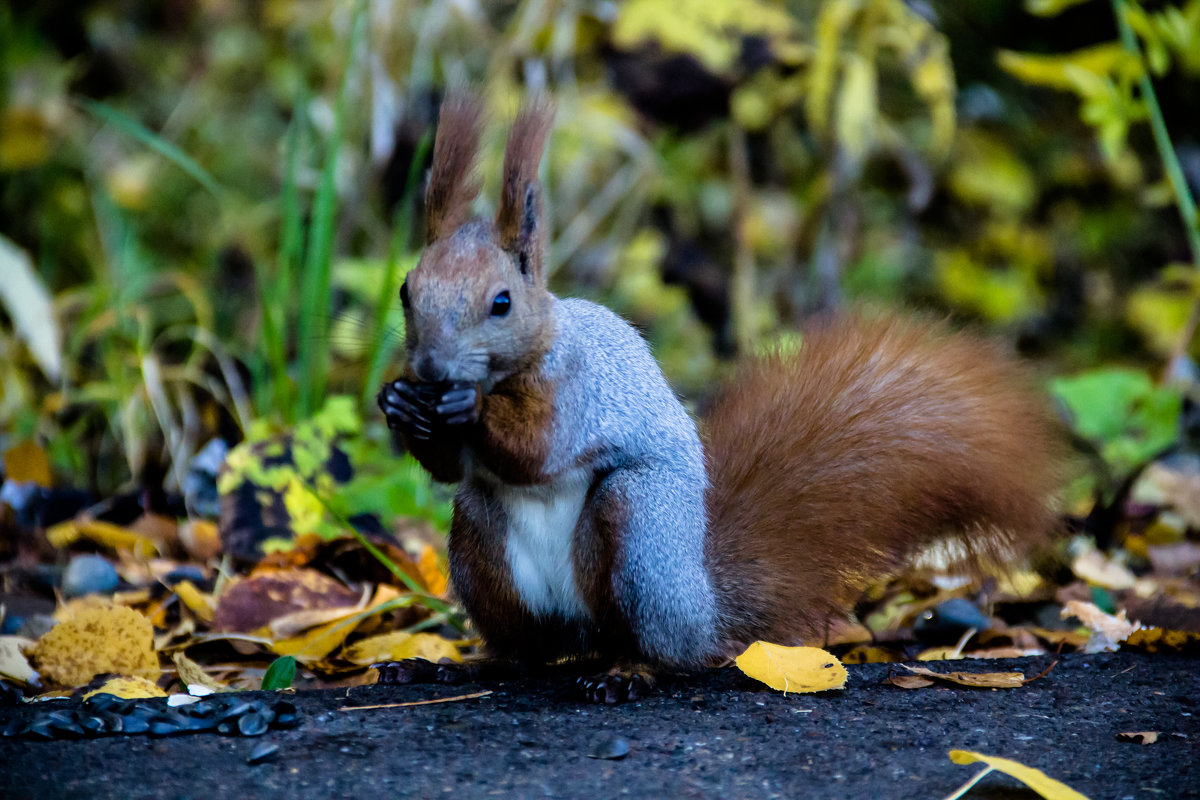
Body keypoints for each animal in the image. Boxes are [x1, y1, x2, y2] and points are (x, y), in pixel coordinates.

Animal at [374, 94, 1060, 700]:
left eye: (501, 303)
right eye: (406, 291)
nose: (431, 368)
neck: (516, 363)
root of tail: (702, 608)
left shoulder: (576, 390)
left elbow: (537, 448)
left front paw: (470, 409)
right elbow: (449, 468)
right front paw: (400, 404)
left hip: (641, 533)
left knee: (659, 650)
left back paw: (628, 673)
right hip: (480, 538)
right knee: (522, 653)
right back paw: (453, 667)